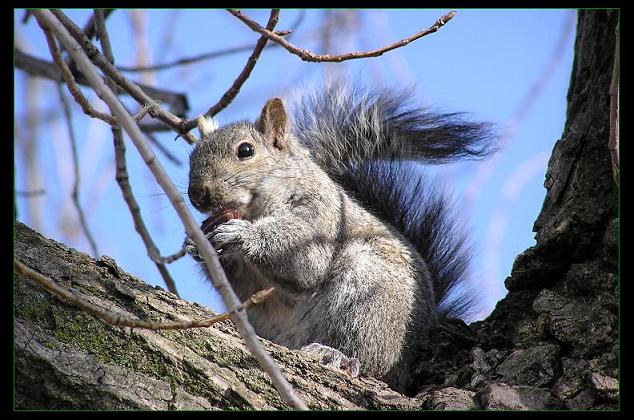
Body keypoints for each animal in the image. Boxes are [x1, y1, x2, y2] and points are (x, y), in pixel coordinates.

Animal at [183, 82, 494, 394]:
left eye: (246, 151)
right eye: (192, 156)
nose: (197, 194)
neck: (258, 207)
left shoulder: (321, 215)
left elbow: (306, 263)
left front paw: (241, 234)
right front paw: (195, 243)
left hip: (370, 298)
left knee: (368, 359)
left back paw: (336, 355)